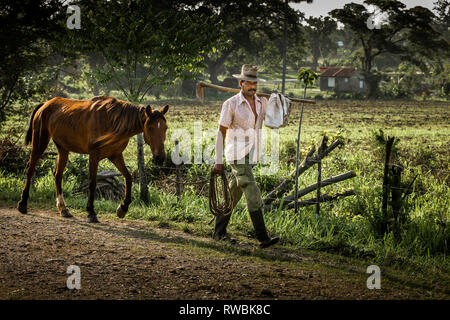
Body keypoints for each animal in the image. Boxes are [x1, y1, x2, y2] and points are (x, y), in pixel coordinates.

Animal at [17, 95, 169, 222]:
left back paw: (63, 209)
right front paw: (91, 213)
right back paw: (23, 204)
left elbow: (128, 177)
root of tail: (44, 105)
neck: (112, 120)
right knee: (30, 170)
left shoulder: (115, 155)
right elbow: (92, 182)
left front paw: (122, 208)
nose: (160, 157)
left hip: (63, 149)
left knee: (57, 175)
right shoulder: (94, 156)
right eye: (150, 127)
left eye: (165, 128)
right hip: (39, 143)